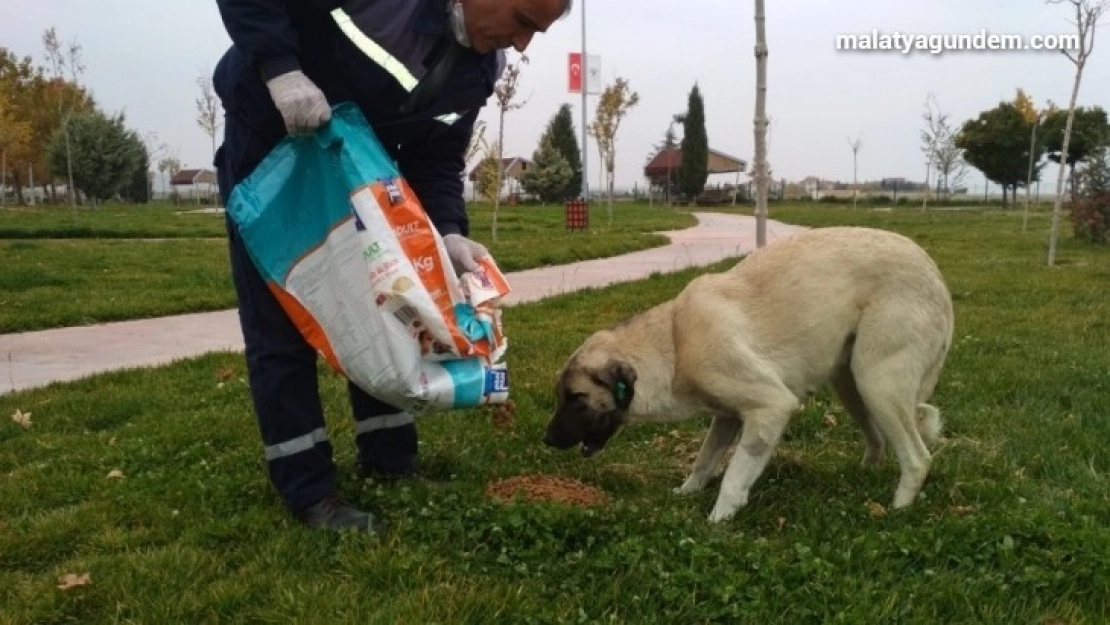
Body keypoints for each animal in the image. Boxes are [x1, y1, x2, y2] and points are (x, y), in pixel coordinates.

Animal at [543, 227, 954, 521]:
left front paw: (718, 520)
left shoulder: (770, 408)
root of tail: (936, 275)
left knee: (918, 458)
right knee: (879, 441)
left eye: (575, 398)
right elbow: (704, 461)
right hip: (852, 384)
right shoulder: (726, 417)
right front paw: (686, 493)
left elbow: (733, 476)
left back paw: (895, 512)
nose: (546, 441)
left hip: (877, 383)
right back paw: (861, 478)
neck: (674, 343)